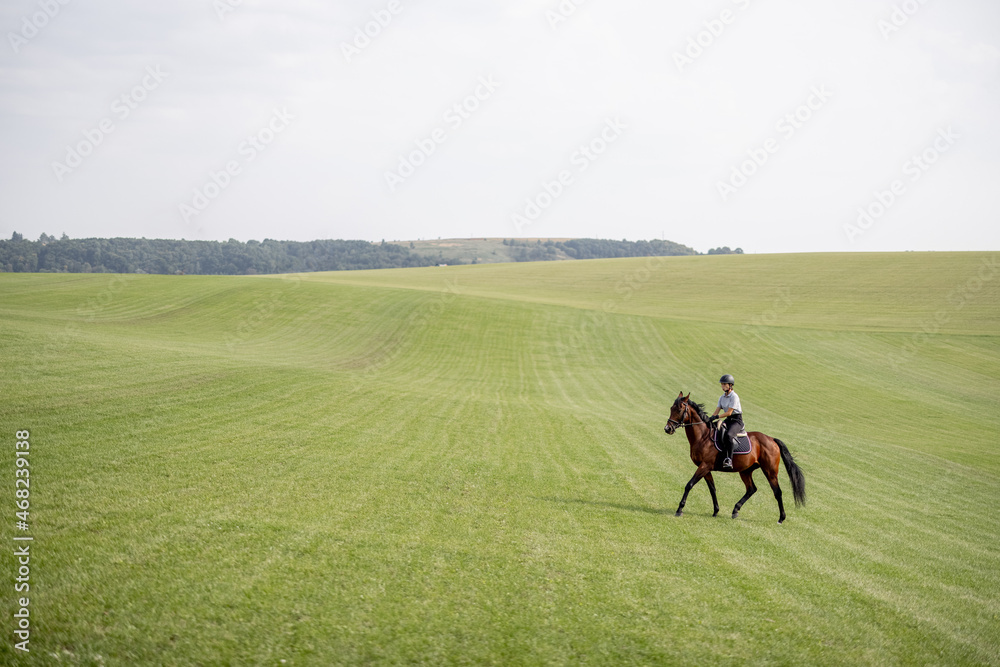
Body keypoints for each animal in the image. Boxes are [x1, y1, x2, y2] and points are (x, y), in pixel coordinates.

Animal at [664, 392, 804, 528]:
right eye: (671, 408)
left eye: (679, 409)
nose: (667, 429)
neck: (703, 437)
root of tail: (771, 439)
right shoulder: (706, 468)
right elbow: (712, 489)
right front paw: (715, 511)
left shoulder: (704, 466)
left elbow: (689, 485)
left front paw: (679, 509)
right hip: (746, 471)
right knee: (751, 489)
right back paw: (735, 510)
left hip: (770, 471)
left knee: (777, 492)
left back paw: (781, 518)